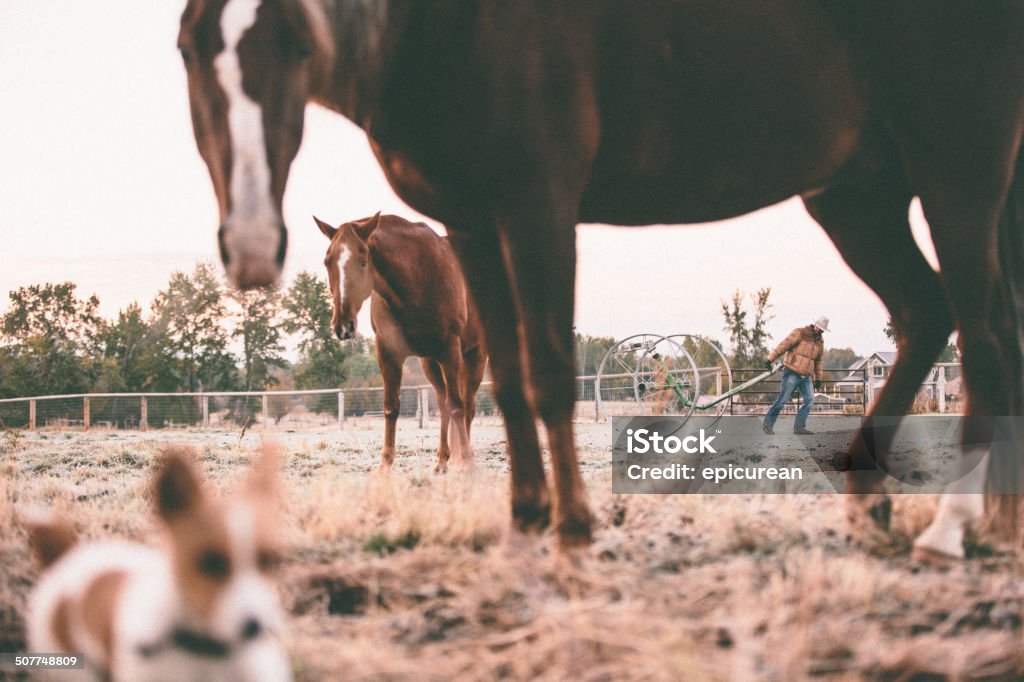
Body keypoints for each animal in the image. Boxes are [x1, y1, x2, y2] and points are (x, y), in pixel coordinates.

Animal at [313, 210, 485, 466]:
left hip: (475, 356)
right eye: (327, 262)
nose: (343, 326)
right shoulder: (388, 353)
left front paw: (466, 461)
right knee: (443, 404)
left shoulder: (450, 351)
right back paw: (442, 460)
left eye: (363, 262)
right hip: (430, 363)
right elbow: (391, 407)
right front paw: (385, 465)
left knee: (467, 405)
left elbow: (458, 407)